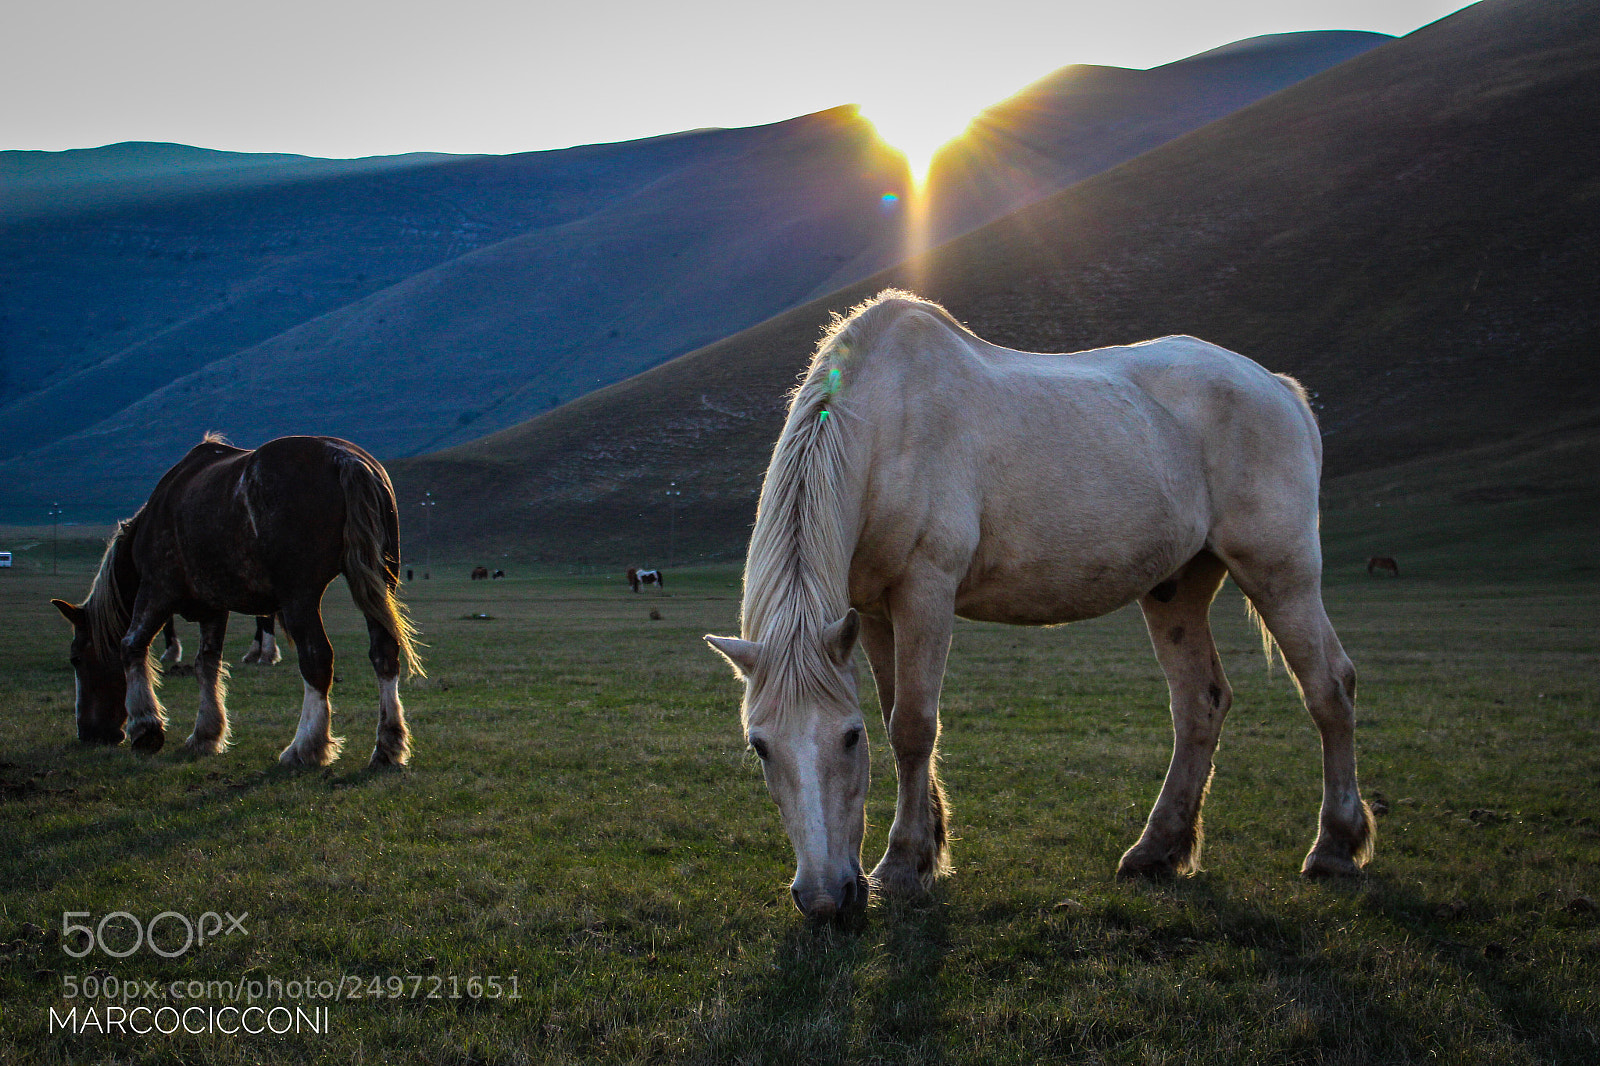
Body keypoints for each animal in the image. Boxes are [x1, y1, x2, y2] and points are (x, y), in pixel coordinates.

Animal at [51, 434, 423, 767]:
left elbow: (132, 645)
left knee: (317, 659)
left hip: (299, 597)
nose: (89, 733)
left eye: (76, 659)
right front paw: (205, 734)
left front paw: (146, 729)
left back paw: (305, 747)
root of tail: (343, 459)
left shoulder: (157, 589)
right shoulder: (213, 607)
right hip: (381, 583)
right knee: (384, 653)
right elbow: (207, 664)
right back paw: (387, 747)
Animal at [706, 292, 1374, 920]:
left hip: (1281, 572)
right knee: (1201, 704)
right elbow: (897, 715)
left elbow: (913, 726)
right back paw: (1157, 850)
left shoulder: (925, 589)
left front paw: (901, 867)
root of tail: (1279, 388)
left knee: (1329, 688)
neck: (885, 430)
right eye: (760, 746)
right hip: (1176, 587)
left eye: (849, 738)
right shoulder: (870, 610)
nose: (824, 900)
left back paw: (1334, 848)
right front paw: (929, 846)